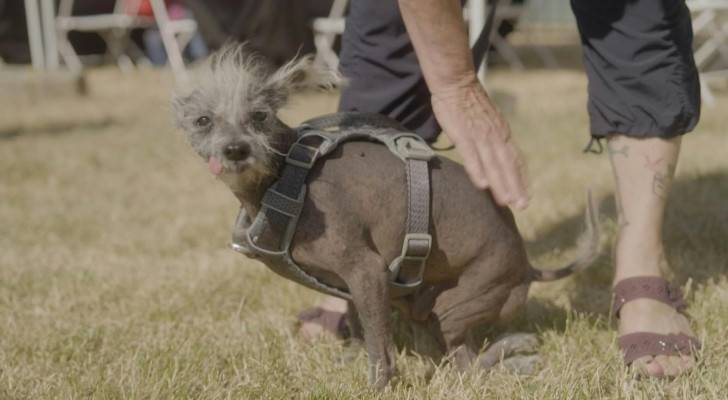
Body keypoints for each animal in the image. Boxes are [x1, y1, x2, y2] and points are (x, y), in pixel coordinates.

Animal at [173, 45, 600, 390]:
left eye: (259, 116)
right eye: (203, 121)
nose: (235, 150)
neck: (286, 176)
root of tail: (528, 265)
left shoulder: (367, 270)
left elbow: (381, 350)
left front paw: (377, 385)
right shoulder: (353, 285)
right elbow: (362, 329)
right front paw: (350, 357)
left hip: (461, 303)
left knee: (467, 365)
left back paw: (516, 353)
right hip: (421, 303)